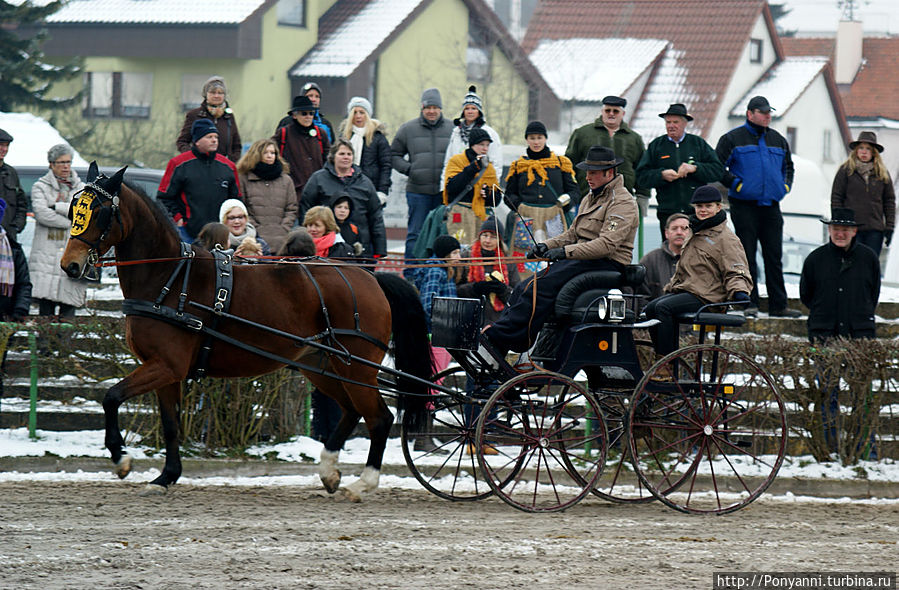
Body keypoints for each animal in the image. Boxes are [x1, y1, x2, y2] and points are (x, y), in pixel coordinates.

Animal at [59, 164, 432, 502]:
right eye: (74, 208)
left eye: (100, 212)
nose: (70, 265)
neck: (171, 278)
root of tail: (370, 277)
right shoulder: (165, 370)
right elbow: (169, 424)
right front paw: (166, 476)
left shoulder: (166, 365)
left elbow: (111, 397)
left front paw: (121, 458)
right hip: (323, 365)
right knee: (351, 411)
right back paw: (329, 471)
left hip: (357, 367)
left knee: (379, 418)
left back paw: (362, 484)